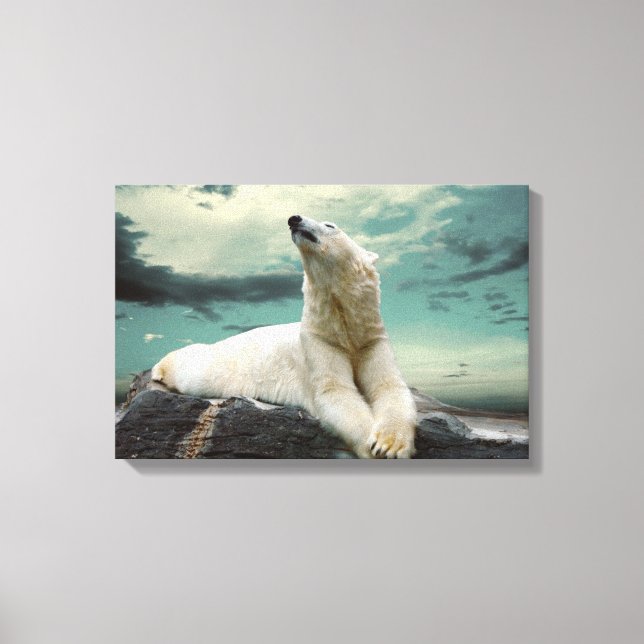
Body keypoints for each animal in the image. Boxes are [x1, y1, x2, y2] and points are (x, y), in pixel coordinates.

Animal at [151, 215, 417, 458]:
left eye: (330, 225)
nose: (294, 219)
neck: (343, 325)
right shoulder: (318, 341)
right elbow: (335, 391)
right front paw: (376, 448)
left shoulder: (370, 339)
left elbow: (389, 386)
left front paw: (389, 444)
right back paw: (159, 369)